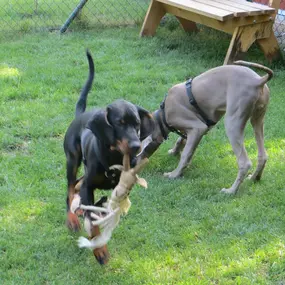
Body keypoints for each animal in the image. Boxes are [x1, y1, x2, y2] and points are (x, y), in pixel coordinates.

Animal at [63, 50, 154, 262]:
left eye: (137, 124)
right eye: (119, 123)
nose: (137, 146)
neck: (113, 159)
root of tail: (80, 116)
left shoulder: (121, 190)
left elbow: (107, 211)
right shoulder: (89, 186)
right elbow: (92, 222)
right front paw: (99, 249)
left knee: (76, 186)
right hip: (72, 159)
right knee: (70, 188)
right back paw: (72, 218)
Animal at [139, 60, 272, 193]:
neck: (162, 116)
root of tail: (258, 80)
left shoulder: (198, 127)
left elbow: (186, 153)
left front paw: (174, 174)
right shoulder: (200, 128)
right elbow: (182, 141)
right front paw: (174, 152)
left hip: (233, 121)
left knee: (244, 162)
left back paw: (231, 191)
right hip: (258, 117)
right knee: (263, 155)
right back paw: (254, 178)